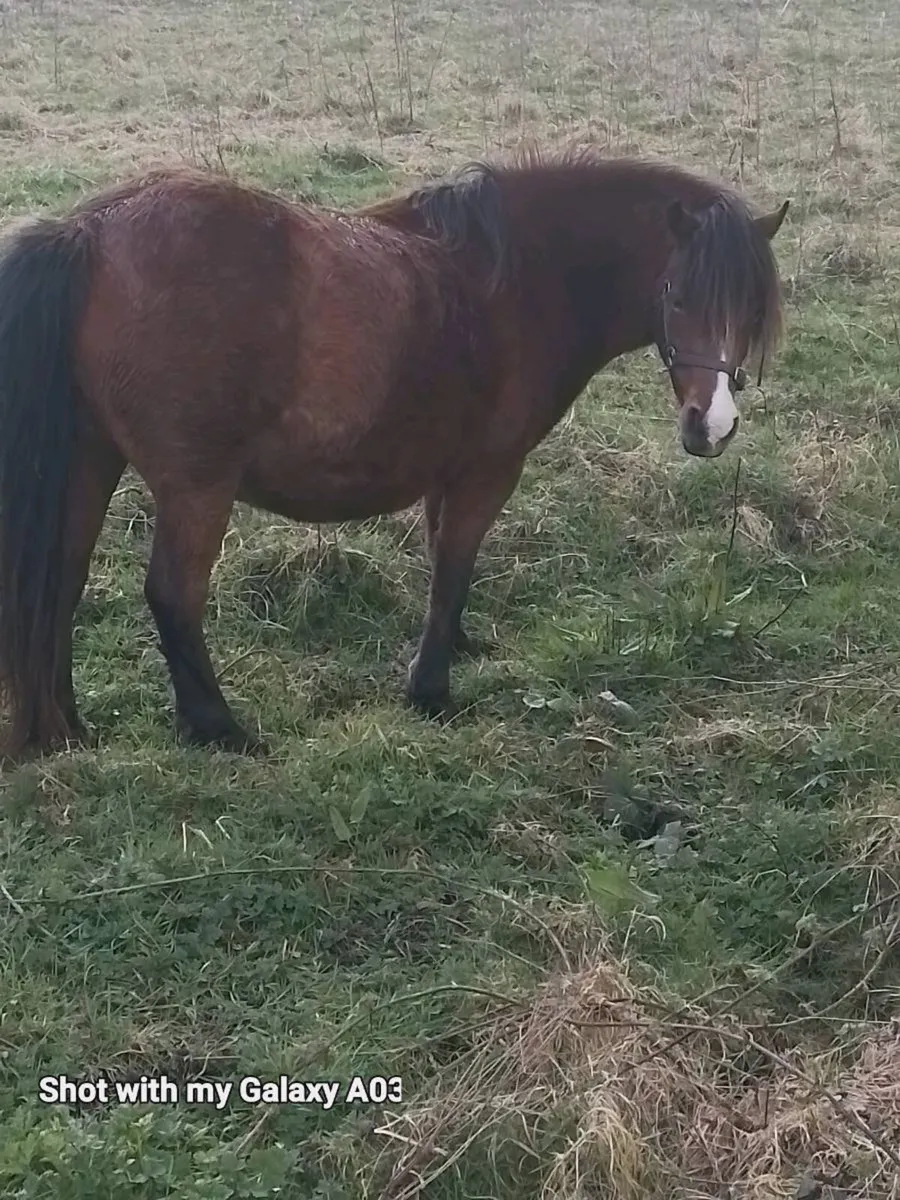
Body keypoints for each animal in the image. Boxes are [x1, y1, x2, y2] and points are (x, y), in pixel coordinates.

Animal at [0, 149, 788, 758]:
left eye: (751, 308)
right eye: (677, 297)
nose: (712, 426)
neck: (522, 279)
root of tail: (88, 231)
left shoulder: (447, 469)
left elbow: (445, 565)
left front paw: (457, 648)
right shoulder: (487, 471)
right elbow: (455, 566)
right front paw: (431, 690)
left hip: (90, 462)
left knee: (58, 585)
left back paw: (66, 730)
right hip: (197, 487)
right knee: (171, 595)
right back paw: (219, 729)